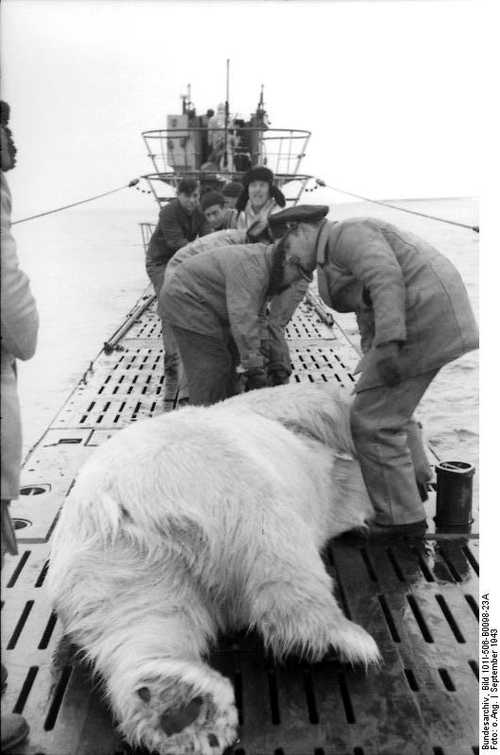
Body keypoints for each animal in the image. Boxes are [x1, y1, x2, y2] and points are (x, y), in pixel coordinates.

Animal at [47, 384, 378, 755]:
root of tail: (120, 499)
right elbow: (319, 408)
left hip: (112, 565)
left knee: (143, 621)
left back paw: (177, 707)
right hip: (223, 482)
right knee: (276, 548)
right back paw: (340, 639)